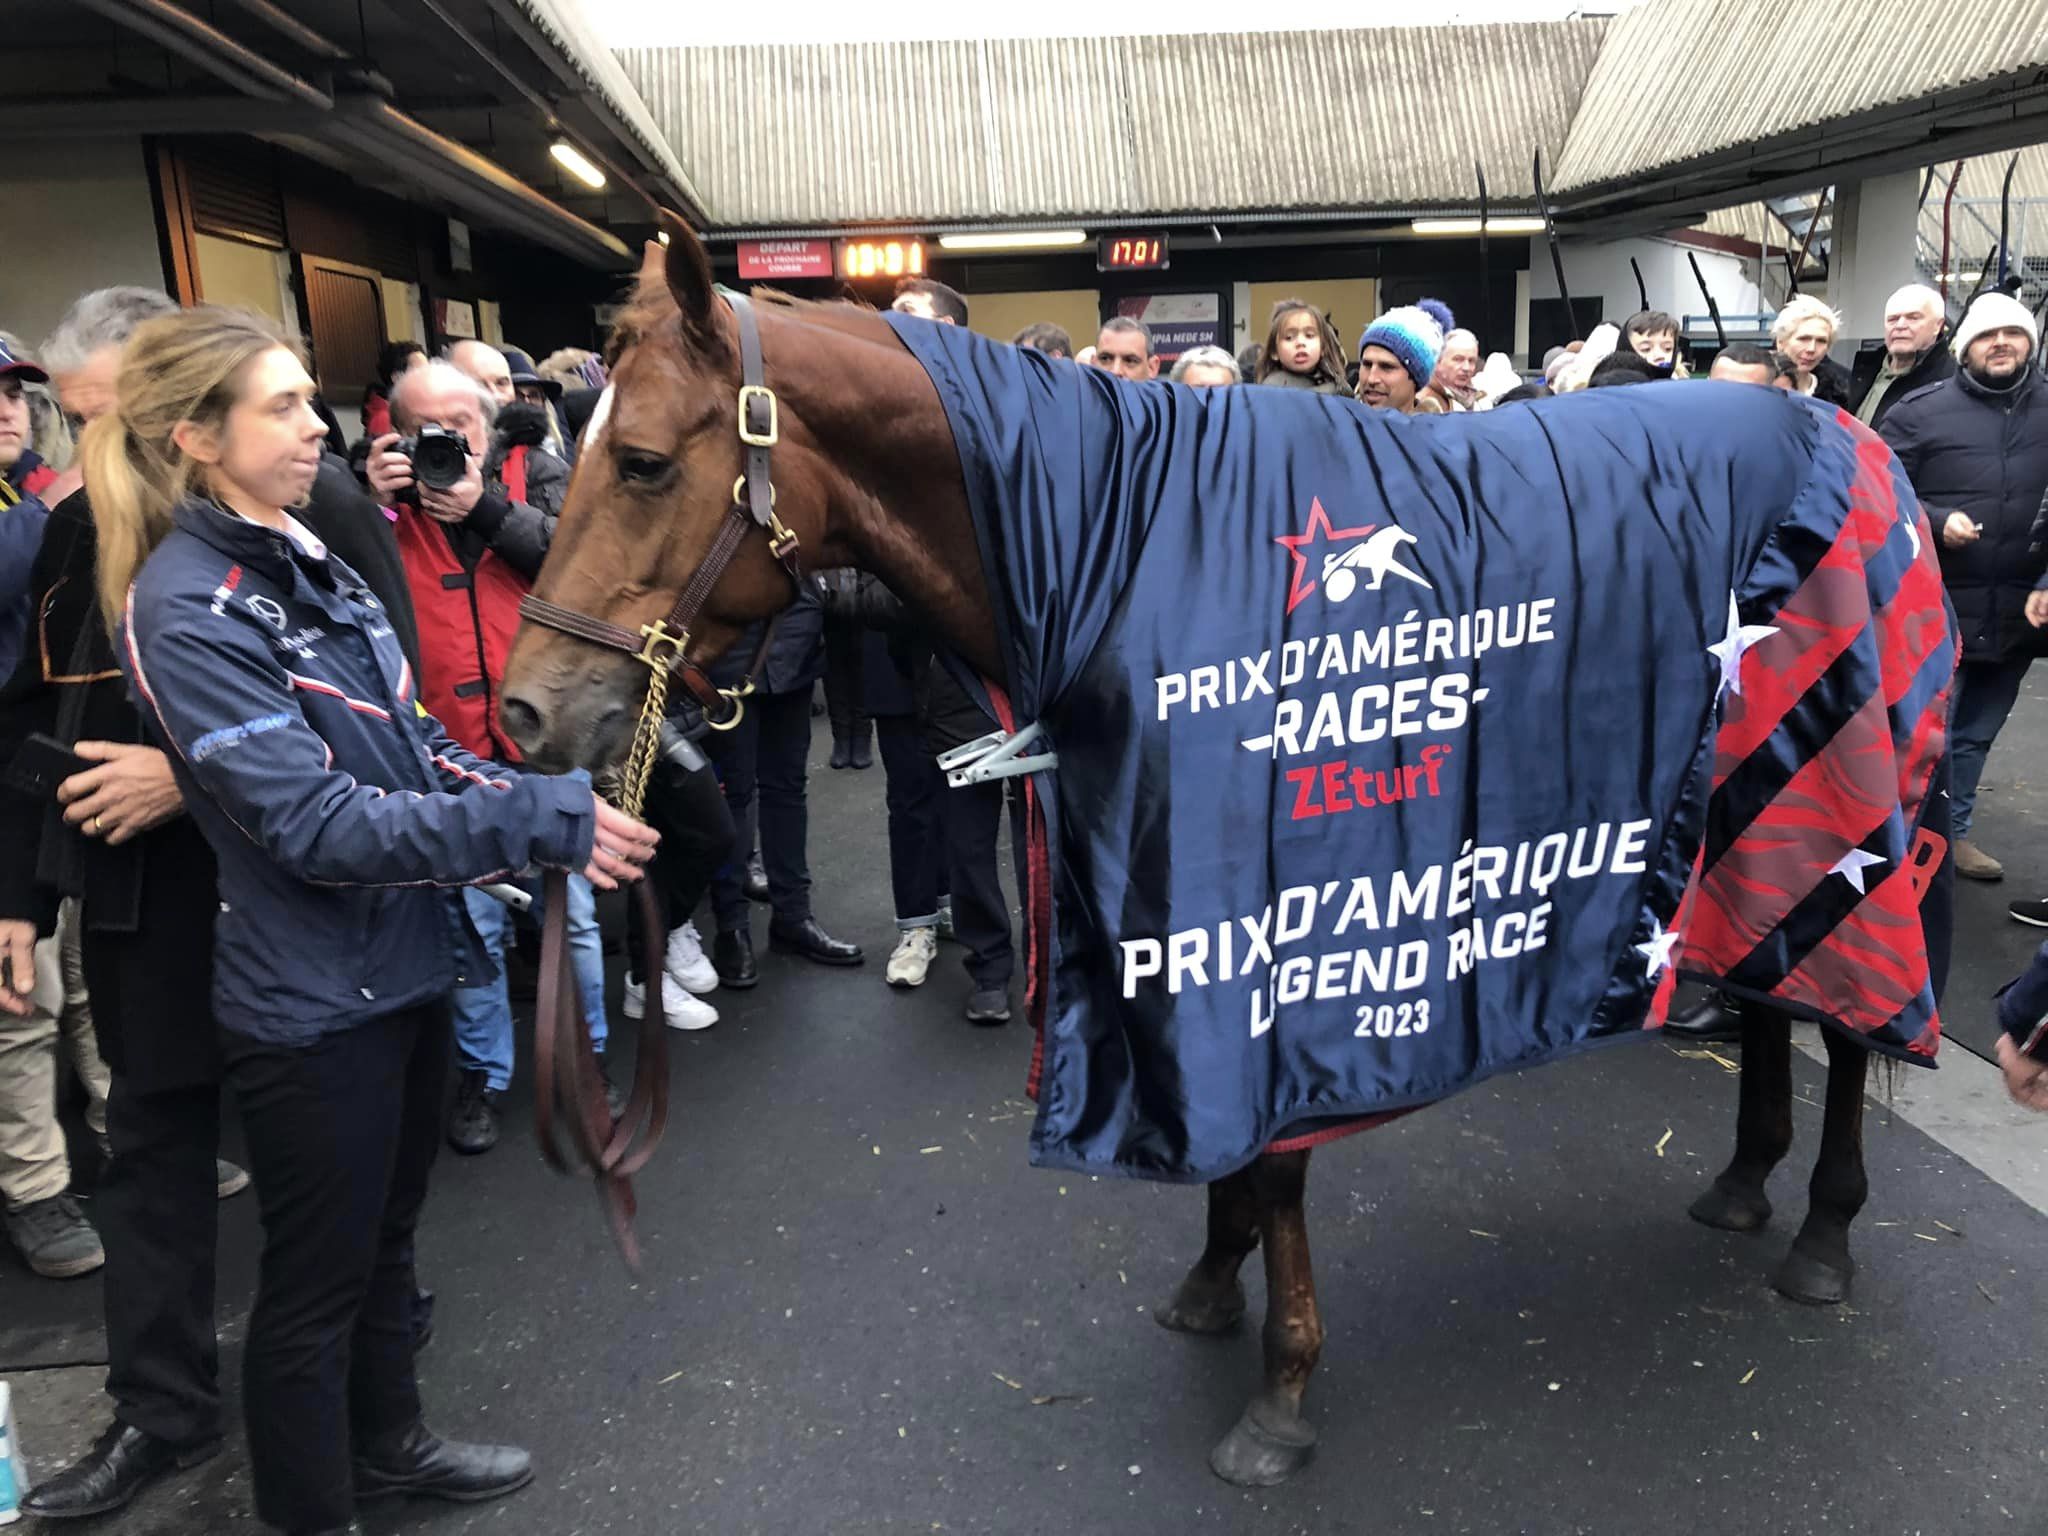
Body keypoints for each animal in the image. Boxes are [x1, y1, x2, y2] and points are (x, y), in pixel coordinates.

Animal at [503, 222, 1875, 1482]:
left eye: (639, 462)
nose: (523, 713)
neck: (1115, 550)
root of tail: (1838, 431)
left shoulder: (1264, 921)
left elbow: (1273, 1166)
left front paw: (1278, 1390)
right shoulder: (1168, 902)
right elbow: (1219, 1145)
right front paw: (1214, 1282)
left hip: (1855, 811)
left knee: (1849, 1018)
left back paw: (1822, 1238)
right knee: (1774, 990)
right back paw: (1743, 1179)